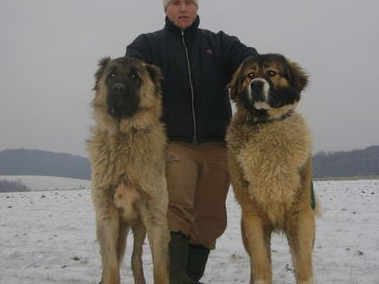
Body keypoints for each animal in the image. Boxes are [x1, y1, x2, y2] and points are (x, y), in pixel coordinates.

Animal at [88, 56, 170, 284]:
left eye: (135, 76)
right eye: (112, 74)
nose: (118, 88)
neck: (125, 135)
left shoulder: (155, 215)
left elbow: (160, 268)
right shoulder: (106, 216)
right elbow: (111, 269)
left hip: (139, 225)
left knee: (136, 259)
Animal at [227, 53, 320, 284]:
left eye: (271, 73)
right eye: (250, 75)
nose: (256, 84)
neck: (268, 125)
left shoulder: (300, 214)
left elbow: (303, 266)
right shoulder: (253, 217)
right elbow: (261, 266)